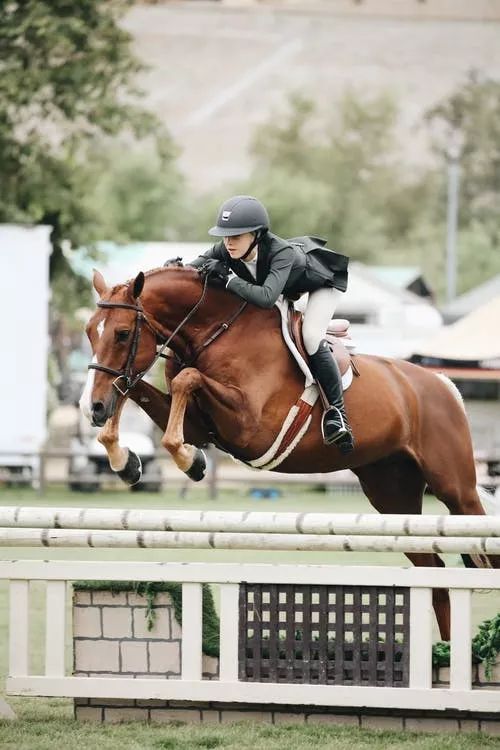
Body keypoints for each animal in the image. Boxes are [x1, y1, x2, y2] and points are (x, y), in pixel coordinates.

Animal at [80, 264, 498, 640]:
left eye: (122, 334)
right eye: (89, 332)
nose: (92, 408)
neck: (216, 332)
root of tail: (444, 384)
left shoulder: (250, 427)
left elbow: (186, 380)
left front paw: (189, 461)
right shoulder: (201, 426)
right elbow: (133, 387)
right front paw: (125, 460)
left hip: (456, 491)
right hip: (393, 497)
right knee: (436, 574)